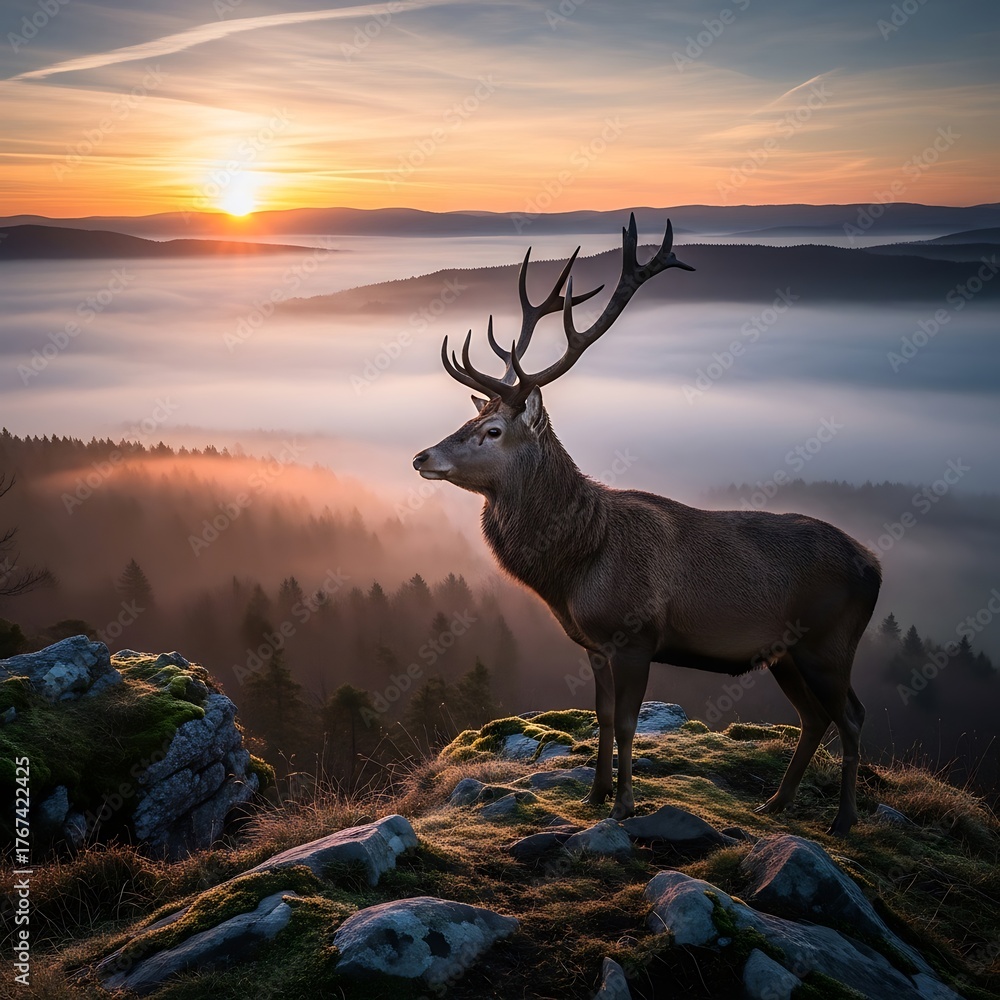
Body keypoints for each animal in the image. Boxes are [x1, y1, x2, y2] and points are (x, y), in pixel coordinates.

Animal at [412, 214, 881, 835]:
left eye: (492, 431)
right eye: (471, 418)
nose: (422, 457)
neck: (578, 565)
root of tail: (876, 567)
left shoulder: (635, 635)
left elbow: (632, 721)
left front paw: (625, 805)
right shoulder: (593, 643)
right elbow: (604, 717)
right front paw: (594, 793)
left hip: (830, 641)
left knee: (851, 715)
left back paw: (844, 819)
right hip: (786, 652)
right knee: (814, 717)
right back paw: (776, 802)